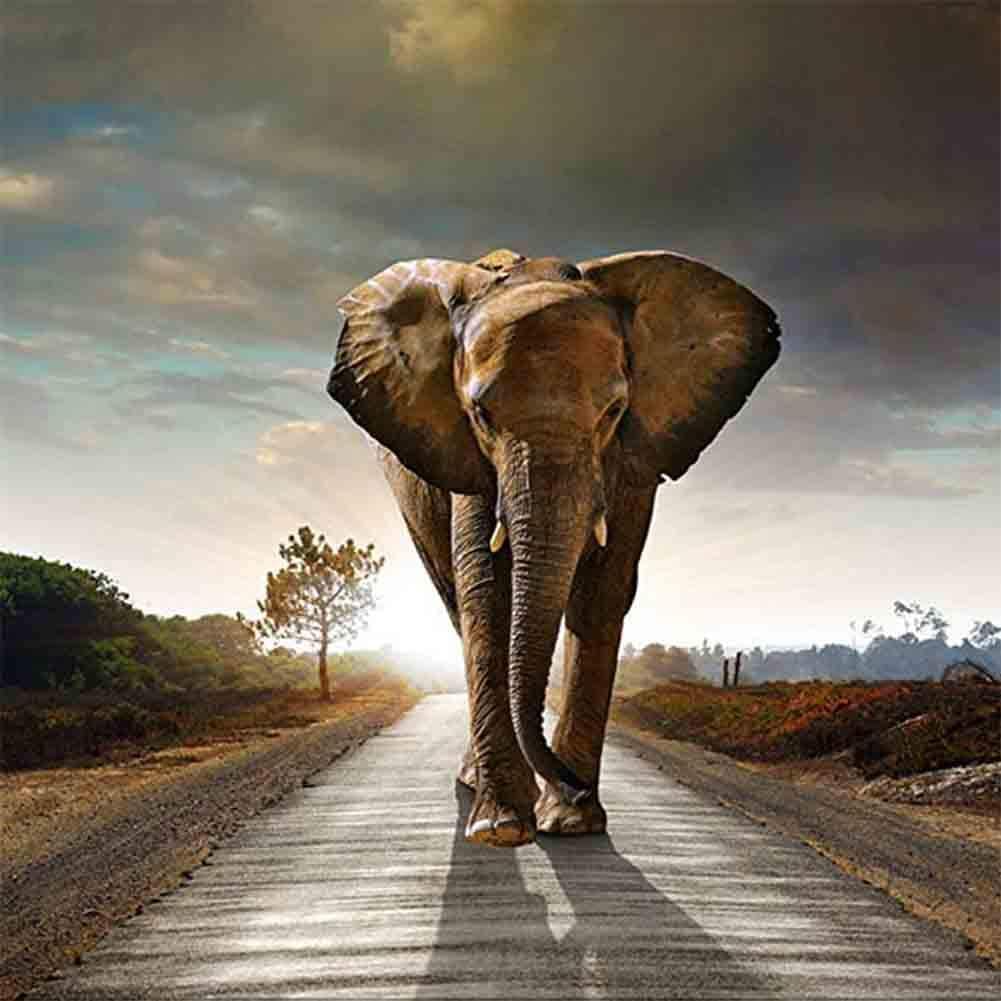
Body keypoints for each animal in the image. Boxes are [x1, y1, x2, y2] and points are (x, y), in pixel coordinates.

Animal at [327, 248, 780, 847]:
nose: (571, 784)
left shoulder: (633, 459)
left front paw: (571, 822)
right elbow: (486, 591)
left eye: (614, 412)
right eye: (481, 415)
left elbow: (603, 592)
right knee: (454, 601)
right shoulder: (467, 459)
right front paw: (501, 827)